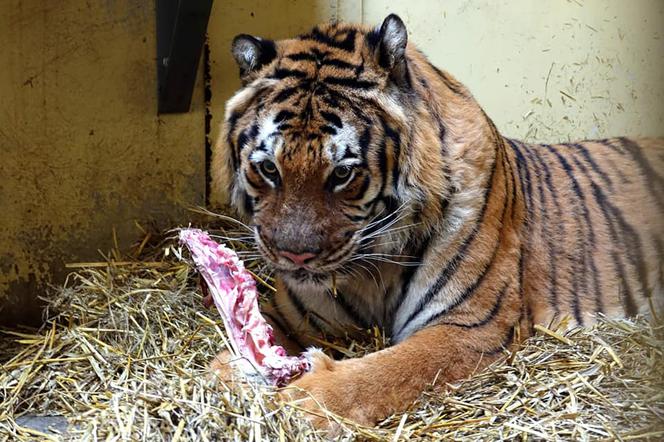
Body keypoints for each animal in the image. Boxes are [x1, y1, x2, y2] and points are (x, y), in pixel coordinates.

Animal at [209, 12, 664, 428]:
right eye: (268, 168)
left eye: (342, 174)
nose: (294, 257)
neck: (371, 270)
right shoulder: (294, 316)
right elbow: (242, 343)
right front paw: (235, 371)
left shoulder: (471, 325)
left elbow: (387, 371)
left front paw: (304, 400)